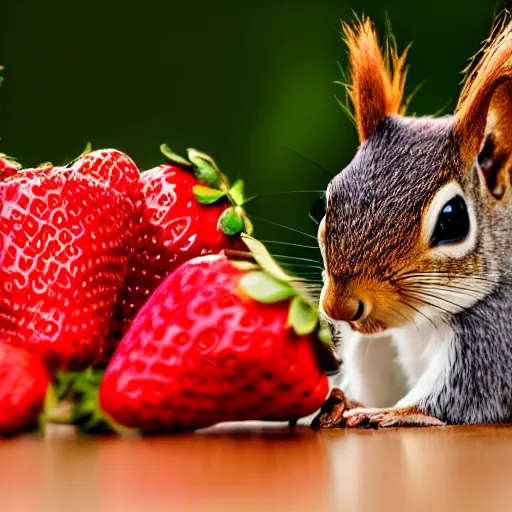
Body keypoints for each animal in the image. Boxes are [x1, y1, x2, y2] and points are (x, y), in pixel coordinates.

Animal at [314, 13, 512, 428]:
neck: (420, 323)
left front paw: (389, 412)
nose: (340, 309)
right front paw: (344, 401)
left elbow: (459, 400)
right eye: (322, 204)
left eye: (452, 221)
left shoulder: (496, 336)